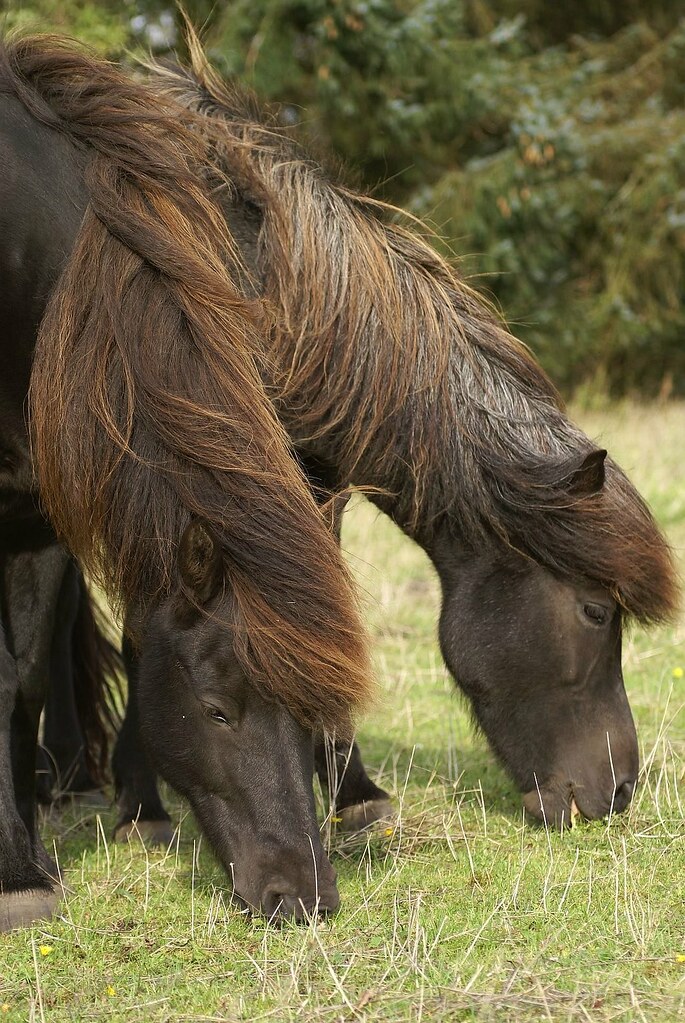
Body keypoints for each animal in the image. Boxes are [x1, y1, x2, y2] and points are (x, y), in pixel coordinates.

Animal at [0, 33, 372, 930]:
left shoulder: (35, 518)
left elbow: (22, 679)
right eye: (215, 709)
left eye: (311, 707)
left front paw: (26, 859)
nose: (302, 894)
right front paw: (15, 868)